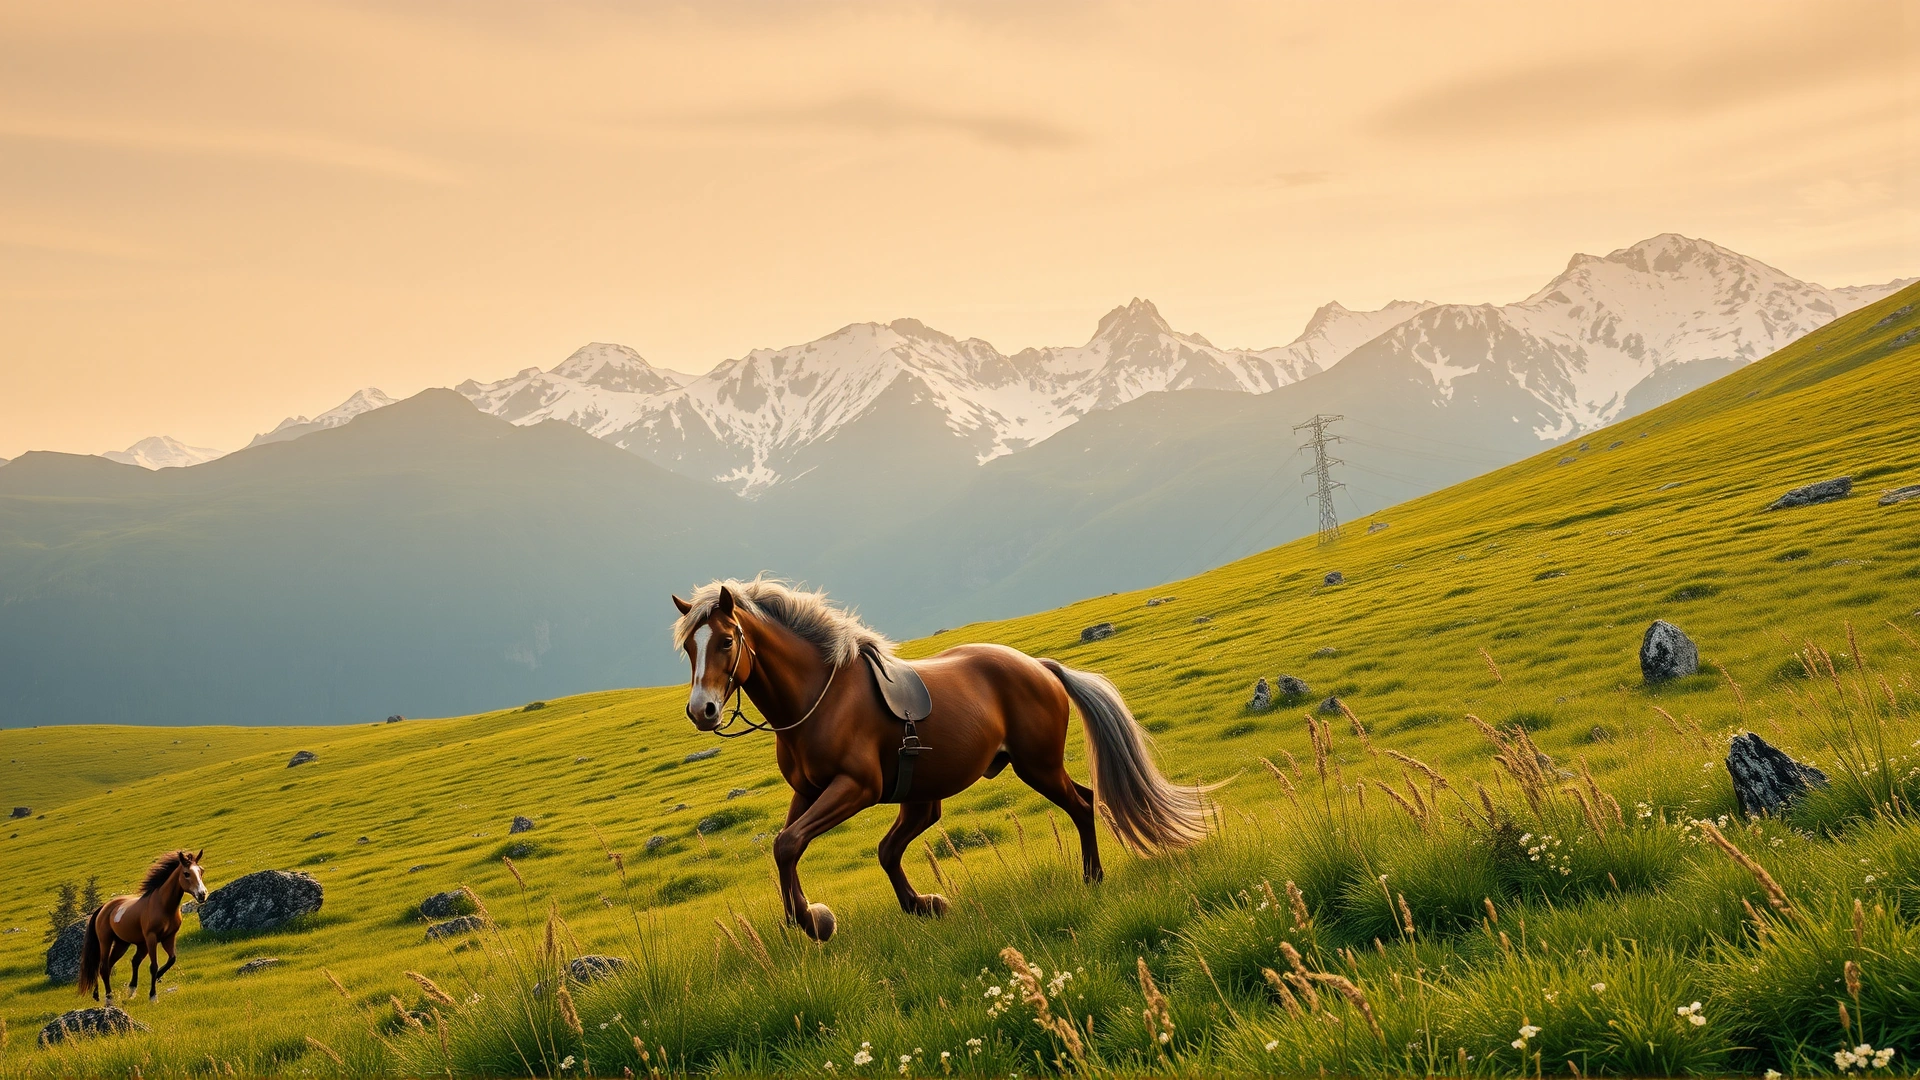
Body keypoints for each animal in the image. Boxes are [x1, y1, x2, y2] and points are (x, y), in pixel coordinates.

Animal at [77, 850, 208, 1003]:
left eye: (201, 871)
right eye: (186, 873)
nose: (202, 894)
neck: (163, 906)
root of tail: (103, 908)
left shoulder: (169, 937)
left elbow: (172, 959)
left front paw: (158, 978)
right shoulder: (151, 937)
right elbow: (153, 966)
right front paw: (153, 996)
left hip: (123, 944)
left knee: (117, 964)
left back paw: (125, 991)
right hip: (106, 941)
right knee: (103, 967)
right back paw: (109, 998)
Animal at [671, 578, 1213, 942]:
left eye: (725, 640)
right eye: (689, 649)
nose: (702, 711)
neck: (821, 697)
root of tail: (1040, 667)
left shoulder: (855, 788)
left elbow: (788, 844)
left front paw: (809, 921)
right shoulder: (808, 791)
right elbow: (786, 845)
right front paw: (803, 916)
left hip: (1036, 766)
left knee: (1082, 803)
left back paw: (1092, 878)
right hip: (927, 796)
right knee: (894, 846)